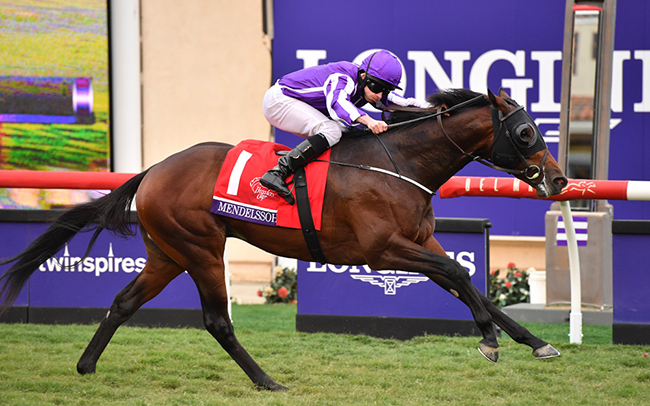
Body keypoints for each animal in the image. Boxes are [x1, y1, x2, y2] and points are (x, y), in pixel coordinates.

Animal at [0, 88, 568, 390]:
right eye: (525, 133)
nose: (560, 180)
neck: (400, 164)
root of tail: (153, 170)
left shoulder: (421, 243)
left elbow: (471, 284)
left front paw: (535, 342)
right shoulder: (382, 248)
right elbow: (458, 275)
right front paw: (489, 342)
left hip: (167, 252)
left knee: (122, 302)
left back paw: (86, 364)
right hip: (201, 248)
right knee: (216, 321)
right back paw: (266, 380)